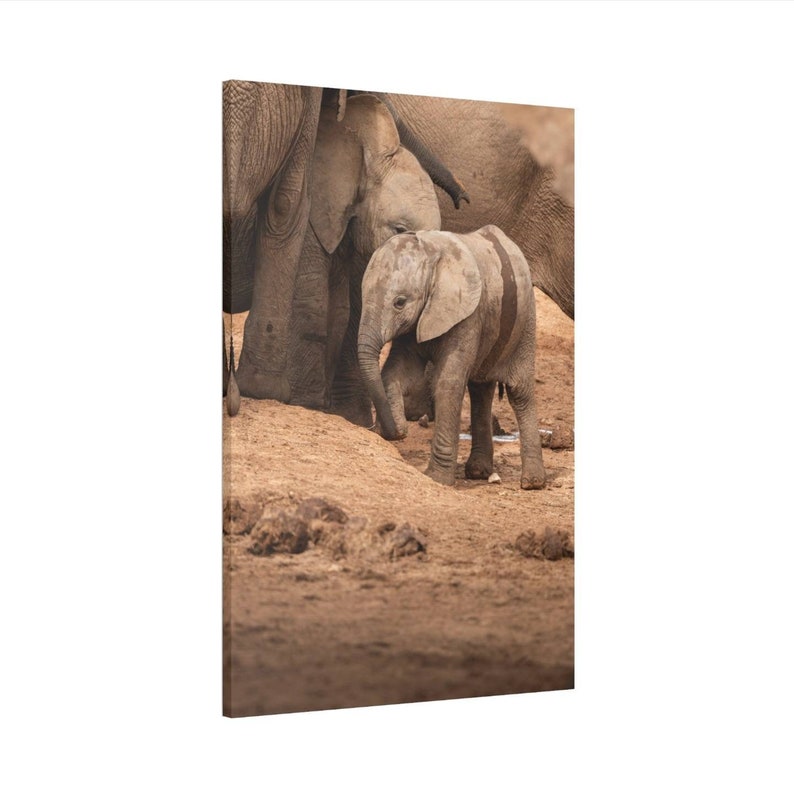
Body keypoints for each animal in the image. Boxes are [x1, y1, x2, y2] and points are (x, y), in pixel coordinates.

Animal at [358, 226, 546, 490]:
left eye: (399, 302)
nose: (395, 433)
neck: (431, 252)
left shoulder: (467, 316)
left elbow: (448, 384)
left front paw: (437, 478)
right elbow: (398, 371)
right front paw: (398, 426)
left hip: (526, 321)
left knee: (520, 392)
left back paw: (532, 482)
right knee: (480, 390)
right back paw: (478, 472)